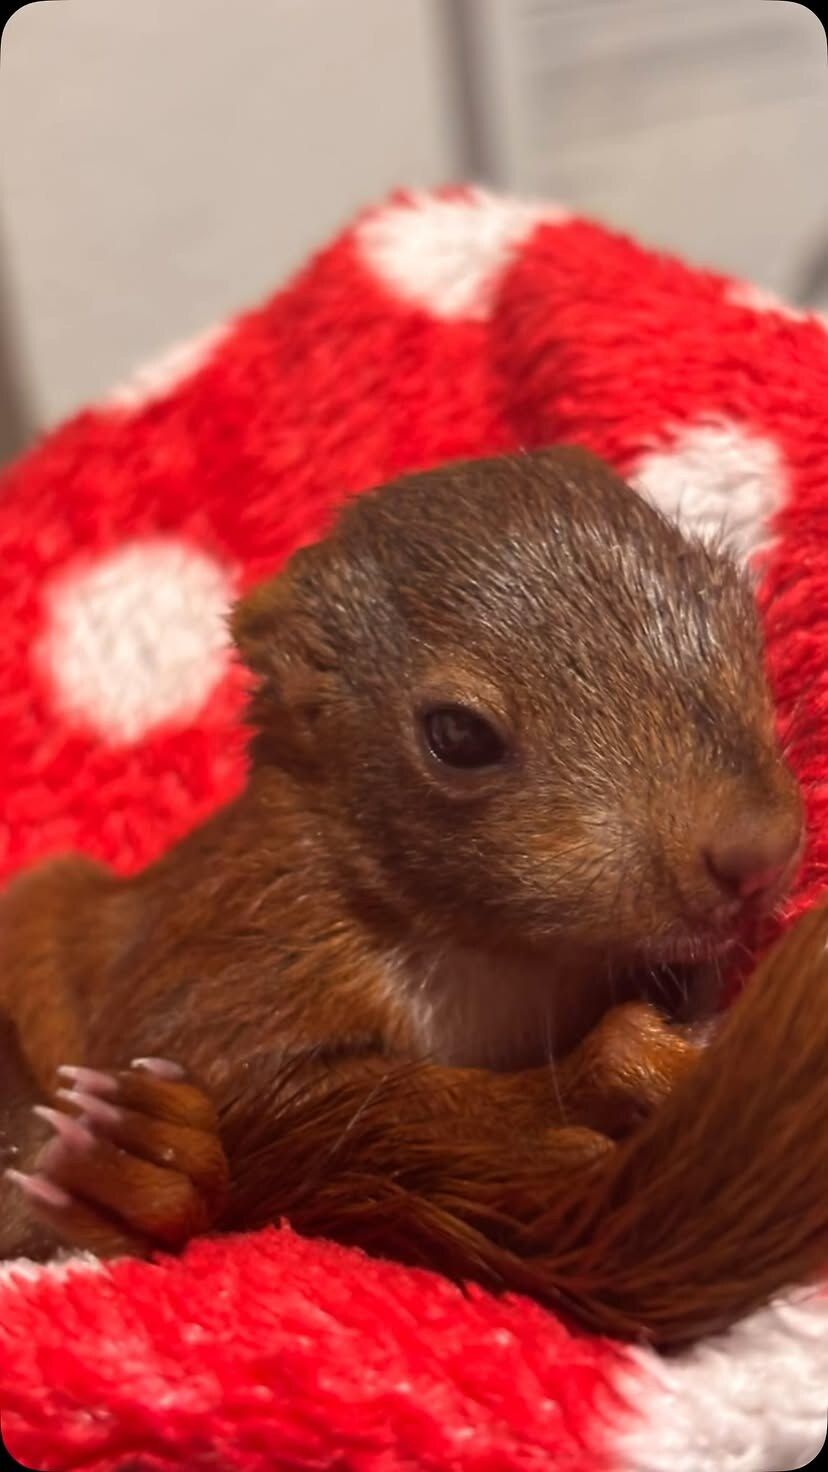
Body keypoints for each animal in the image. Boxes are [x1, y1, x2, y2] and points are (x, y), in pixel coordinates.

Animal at [1, 444, 827, 1350]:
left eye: (739, 616)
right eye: (457, 735)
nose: (756, 852)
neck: (499, 956)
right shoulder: (224, 968)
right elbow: (301, 1106)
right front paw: (627, 1071)